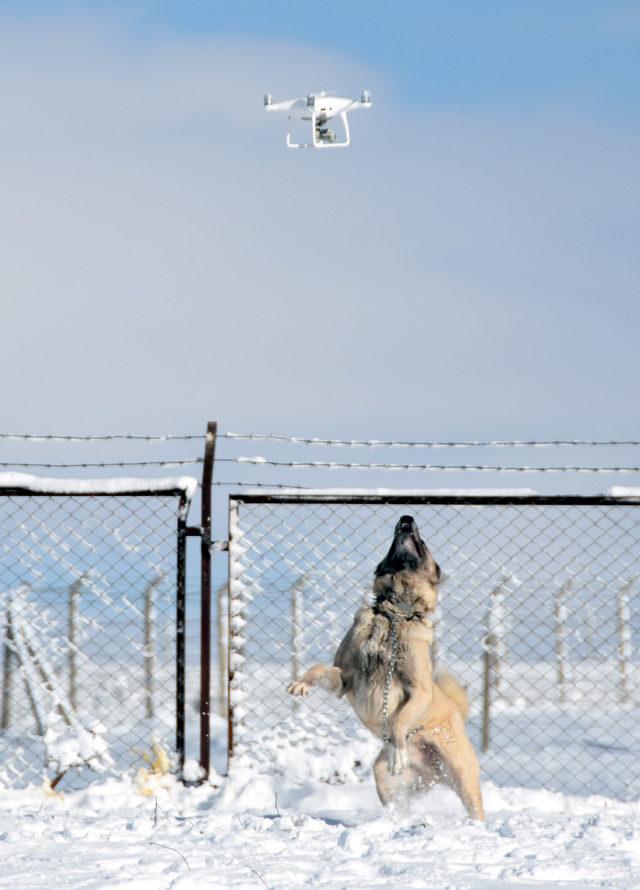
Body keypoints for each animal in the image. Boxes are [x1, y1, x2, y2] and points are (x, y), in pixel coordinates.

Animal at [288, 512, 482, 820]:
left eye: (423, 543)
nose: (407, 517)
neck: (395, 612)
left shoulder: (420, 690)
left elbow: (402, 719)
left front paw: (398, 750)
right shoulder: (346, 679)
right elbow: (319, 668)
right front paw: (302, 683)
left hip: (463, 777)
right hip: (384, 778)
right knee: (396, 800)